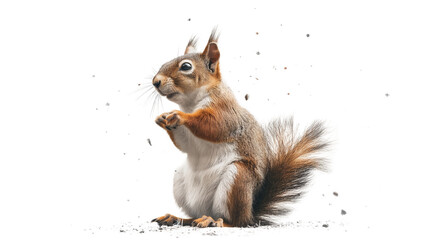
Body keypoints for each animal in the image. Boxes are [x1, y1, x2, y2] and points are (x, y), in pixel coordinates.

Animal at [149, 28, 326, 227]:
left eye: (186, 67)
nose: (156, 81)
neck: (190, 103)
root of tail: (251, 215)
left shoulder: (226, 112)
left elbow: (214, 126)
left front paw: (180, 116)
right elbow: (185, 144)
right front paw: (162, 119)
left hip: (237, 180)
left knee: (235, 221)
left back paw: (214, 221)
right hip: (180, 181)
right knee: (195, 216)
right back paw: (177, 218)